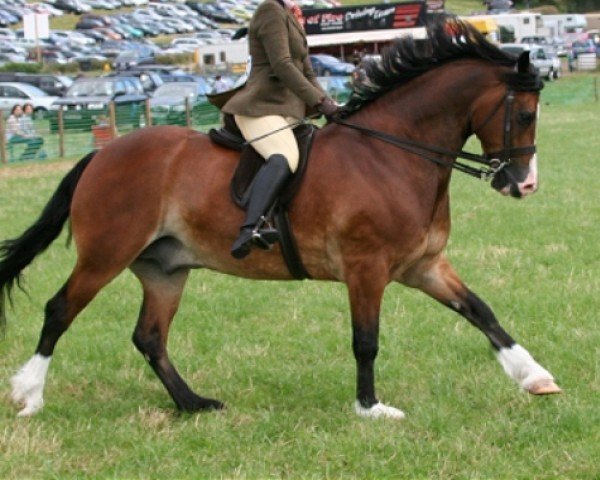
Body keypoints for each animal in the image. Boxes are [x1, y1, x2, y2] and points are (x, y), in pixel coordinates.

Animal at [2, 19, 560, 416]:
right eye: (524, 114)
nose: (524, 184)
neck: (393, 153)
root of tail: (102, 154)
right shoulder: (366, 269)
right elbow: (366, 341)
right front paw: (370, 408)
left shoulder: (424, 265)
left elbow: (482, 312)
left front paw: (535, 377)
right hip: (107, 253)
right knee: (59, 310)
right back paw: (29, 395)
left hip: (165, 269)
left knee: (150, 337)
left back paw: (193, 404)